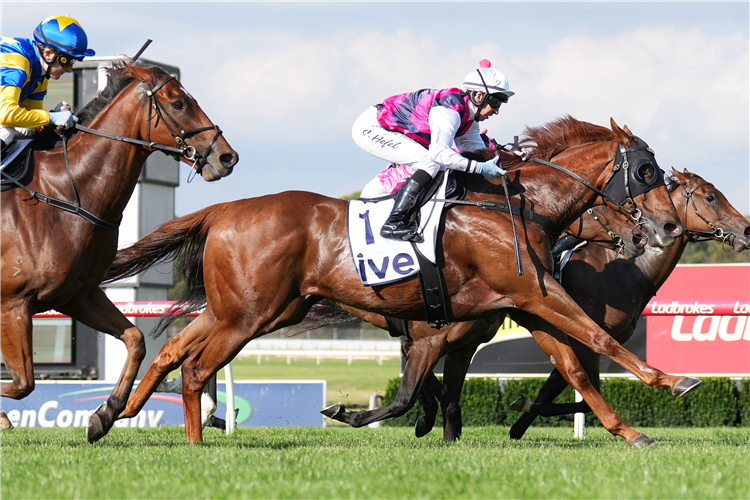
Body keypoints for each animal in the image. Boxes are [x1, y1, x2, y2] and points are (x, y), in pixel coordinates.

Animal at [0, 59, 238, 442]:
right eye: (178, 103)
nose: (227, 156)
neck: (62, 194)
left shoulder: (76, 295)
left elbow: (135, 339)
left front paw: (105, 414)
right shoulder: (13, 304)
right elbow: (23, 382)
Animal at [106, 116, 688, 442]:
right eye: (645, 173)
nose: (660, 229)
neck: (517, 207)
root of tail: (225, 208)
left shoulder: (523, 301)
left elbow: (575, 369)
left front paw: (630, 431)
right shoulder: (521, 296)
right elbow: (597, 339)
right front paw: (672, 380)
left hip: (253, 309)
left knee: (175, 350)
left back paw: (113, 414)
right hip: (248, 314)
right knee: (196, 368)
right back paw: (191, 444)